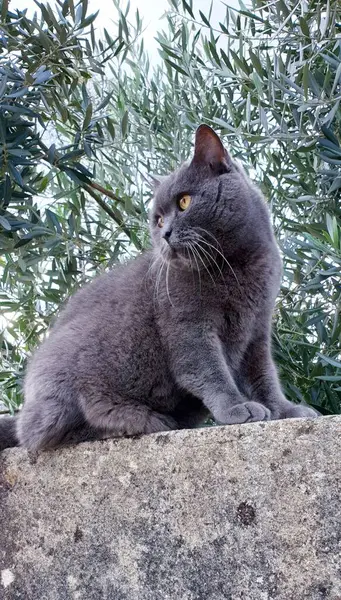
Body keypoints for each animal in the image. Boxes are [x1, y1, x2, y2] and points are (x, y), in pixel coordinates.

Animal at [0, 125, 316, 450]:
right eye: (159, 219)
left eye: (184, 202)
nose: (165, 233)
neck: (236, 263)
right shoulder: (187, 326)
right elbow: (209, 371)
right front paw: (236, 407)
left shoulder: (256, 328)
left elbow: (264, 376)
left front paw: (286, 410)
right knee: (37, 433)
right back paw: (133, 420)